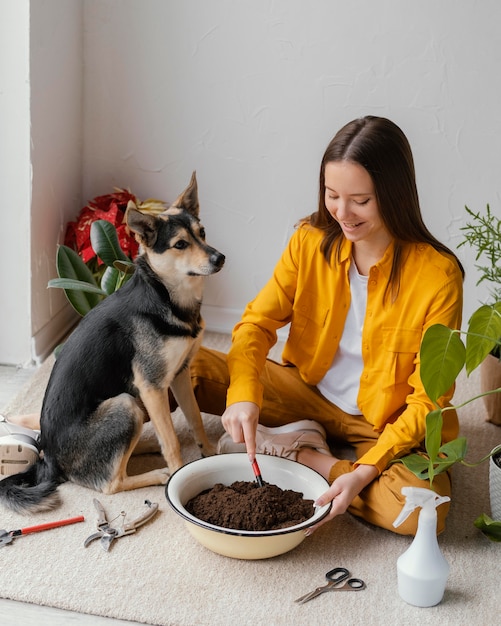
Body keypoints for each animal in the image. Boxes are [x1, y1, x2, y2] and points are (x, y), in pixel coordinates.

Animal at [0, 172, 224, 512]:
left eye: (203, 233)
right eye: (180, 245)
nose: (220, 258)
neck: (166, 297)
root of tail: (49, 460)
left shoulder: (180, 373)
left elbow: (195, 419)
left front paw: (208, 455)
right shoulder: (152, 385)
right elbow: (172, 441)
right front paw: (176, 474)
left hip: (135, 404)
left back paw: (144, 445)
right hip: (126, 403)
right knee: (110, 482)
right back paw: (157, 473)